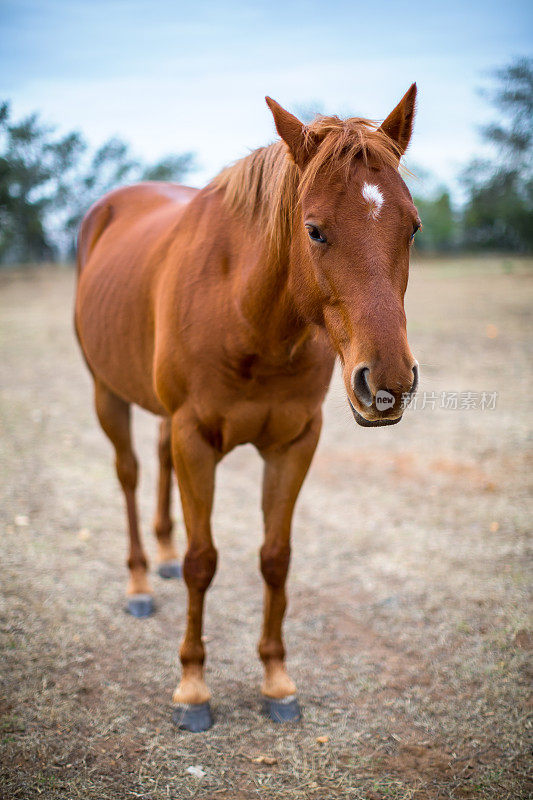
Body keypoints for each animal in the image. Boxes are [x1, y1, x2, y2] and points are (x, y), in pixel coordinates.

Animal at [74, 86, 420, 732]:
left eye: (411, 228)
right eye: (315, 231)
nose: (386, 384)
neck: (247, 313)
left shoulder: (294, 443)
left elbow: (276, 559)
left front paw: (277, 679)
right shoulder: (194, 439)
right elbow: (203, 562)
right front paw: (193, 687)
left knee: (156, 465)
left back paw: (160, 555)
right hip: (107, 393)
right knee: (129, 474)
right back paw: (140, 581)